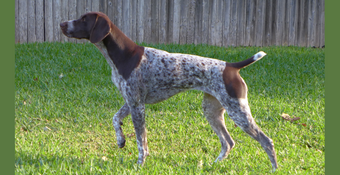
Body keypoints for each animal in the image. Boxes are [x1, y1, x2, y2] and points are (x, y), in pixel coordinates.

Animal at [60, 11, 278, 170]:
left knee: (266, 141)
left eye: (83, 19)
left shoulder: (137, 106)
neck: (123, 55)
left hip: (238, 112)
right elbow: (115, 119)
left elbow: (141, 141)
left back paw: (274, 168)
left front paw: (140, 164)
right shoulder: (130, 101)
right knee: (228, 142)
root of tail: (231, 66)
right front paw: (121, 140)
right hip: (212, 110)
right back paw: (212, 165)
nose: (62, 24)